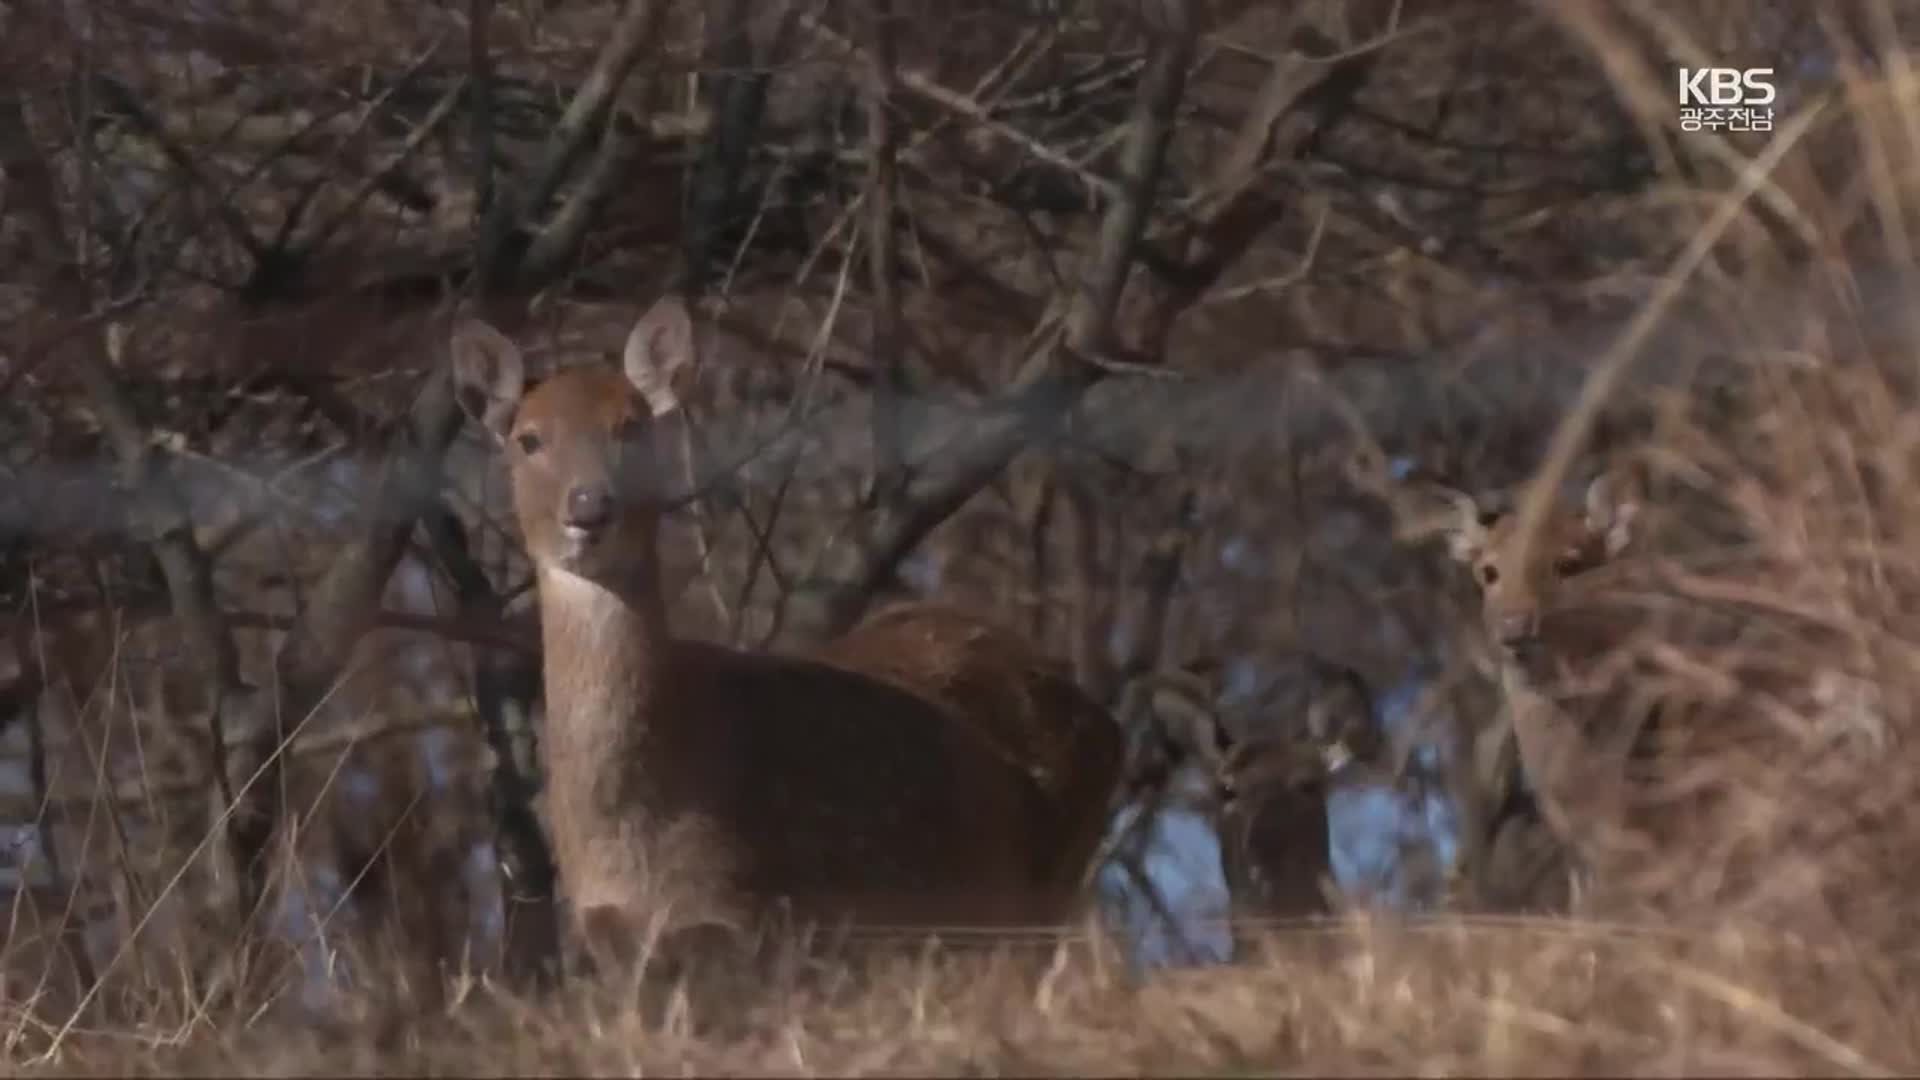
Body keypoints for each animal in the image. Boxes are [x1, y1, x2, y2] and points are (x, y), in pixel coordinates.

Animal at [449, 294, 1121, 957]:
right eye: (528, 440)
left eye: (632, 427)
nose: (589, 507)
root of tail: (1107, 722)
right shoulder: (613, 938)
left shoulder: (761, 915)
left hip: (1038, 898)